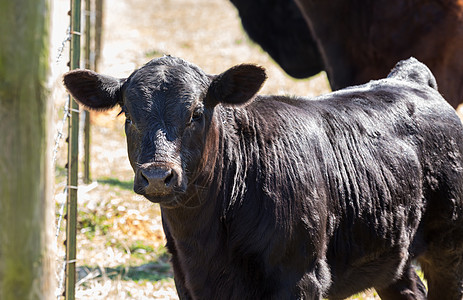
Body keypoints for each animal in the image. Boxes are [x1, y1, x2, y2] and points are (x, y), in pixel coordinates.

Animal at [63, 56, 463, 300]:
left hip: (449, 247)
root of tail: (410, 80)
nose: (158, 175)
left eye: (196, 113)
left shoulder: (301, 278)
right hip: (394, 252)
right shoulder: (186, 280)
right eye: (128, 116)